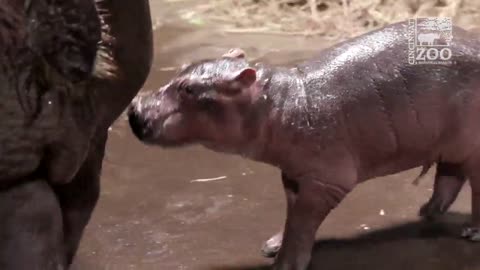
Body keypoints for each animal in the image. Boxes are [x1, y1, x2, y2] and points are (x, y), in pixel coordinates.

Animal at [128, 20, 480, 270]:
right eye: (180, 72)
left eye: (188, 90)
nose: (134, 108)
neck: (281, 104)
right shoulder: (293, 175)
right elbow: (291, 218)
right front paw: (271, 246)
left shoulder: (324, 180)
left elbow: (301, 222)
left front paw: (283, 266)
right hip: (449, 143)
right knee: (450, 175)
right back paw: (426, 212)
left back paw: (471, 233)